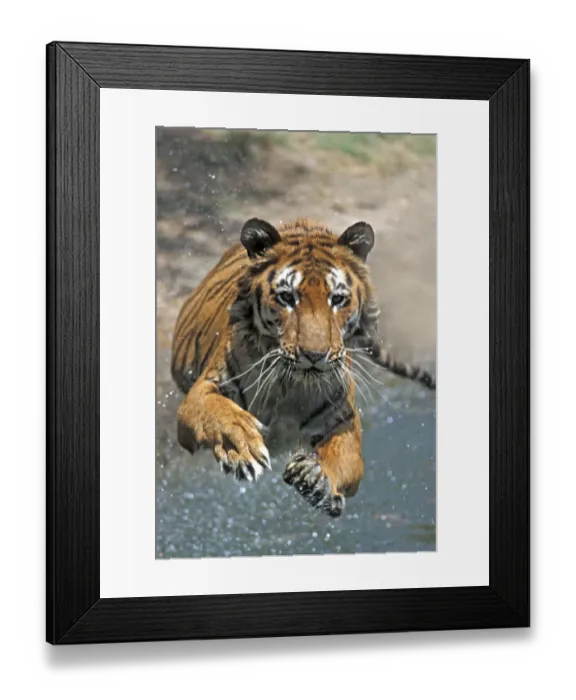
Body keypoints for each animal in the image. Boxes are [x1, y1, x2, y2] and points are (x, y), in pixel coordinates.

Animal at [171, 217, 435, 517]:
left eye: (337, 299)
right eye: (287, 297)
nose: (314, 355)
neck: (289, 386)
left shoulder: (344, 420)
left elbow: (344, 457)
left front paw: (317, 477)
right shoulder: (204, 390)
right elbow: (221, 414)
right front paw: (243, 448)